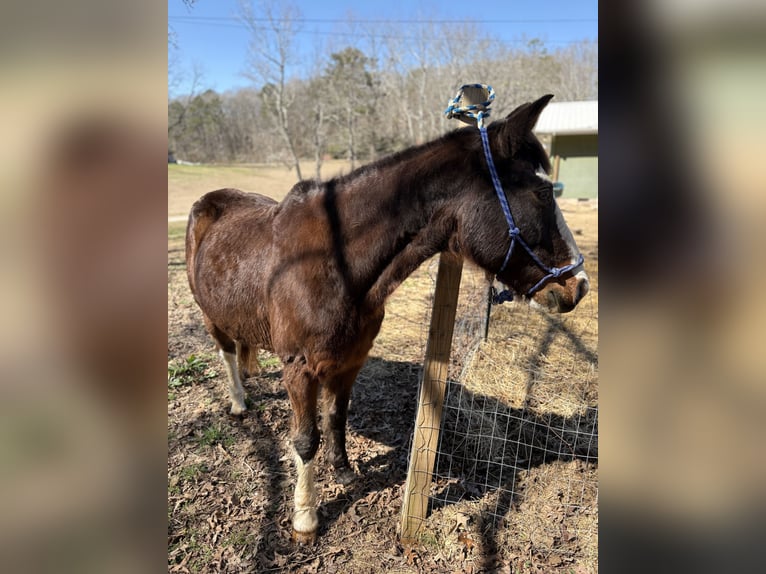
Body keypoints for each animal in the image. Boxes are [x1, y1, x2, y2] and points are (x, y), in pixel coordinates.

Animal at [188, 93, 592, 544]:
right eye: (542, 192)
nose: (578, 286)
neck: (336, 263)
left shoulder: (350, 361)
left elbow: (336, 417)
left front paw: (344, 472)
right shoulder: (299, 367)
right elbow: (305, 439)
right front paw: (305, 519)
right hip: (210, 315)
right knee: (226, 353)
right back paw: (239, 402)